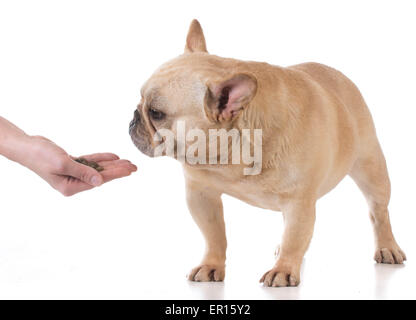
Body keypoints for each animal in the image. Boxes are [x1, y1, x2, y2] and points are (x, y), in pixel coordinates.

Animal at [128, 18, 404, 286]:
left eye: (156, 113)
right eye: (140, 99)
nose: (133, 117)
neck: (232, 153)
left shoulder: (299, 202)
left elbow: (295, 236)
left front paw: (283, 270)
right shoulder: (201, 195)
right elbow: (214, 235)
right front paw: (211, 265)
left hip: (371, 169)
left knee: (379, 212)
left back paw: (388, 247)